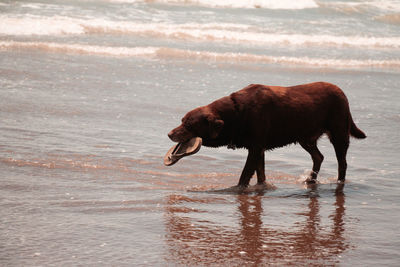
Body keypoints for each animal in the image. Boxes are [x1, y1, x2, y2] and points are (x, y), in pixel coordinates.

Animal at [167, 82, 364, 187]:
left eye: (189, 125)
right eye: (182, 120)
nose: (169, 134)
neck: (237, 113)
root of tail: (342, 92)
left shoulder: (255, 148)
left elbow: (245, 175)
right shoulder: (259, 149)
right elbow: (260, 174)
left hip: (339, 133)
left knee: (342, 162)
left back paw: (339, 183)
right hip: (305, 137)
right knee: (318, 156)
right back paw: (310, 180)